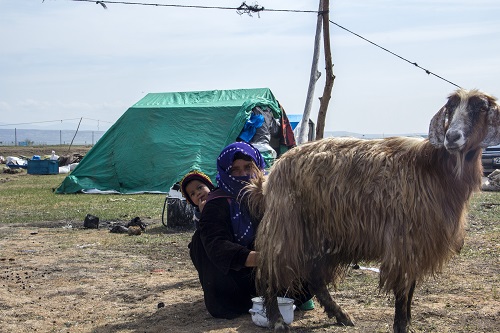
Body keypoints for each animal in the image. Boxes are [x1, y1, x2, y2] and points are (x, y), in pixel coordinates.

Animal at [250, 89, 500, 332]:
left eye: (481, 107)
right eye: (450, 107)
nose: (452, 137)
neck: (431, 167)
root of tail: (272, 174)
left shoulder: (417, 243)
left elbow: (411, 286)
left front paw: (408, 321)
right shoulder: (403, 240)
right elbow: (403, 289)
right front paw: (401, 324)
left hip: (322, 236)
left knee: (314, 277)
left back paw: (341, 315)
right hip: (285, 228)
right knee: (270, 271)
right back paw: (277, 320)